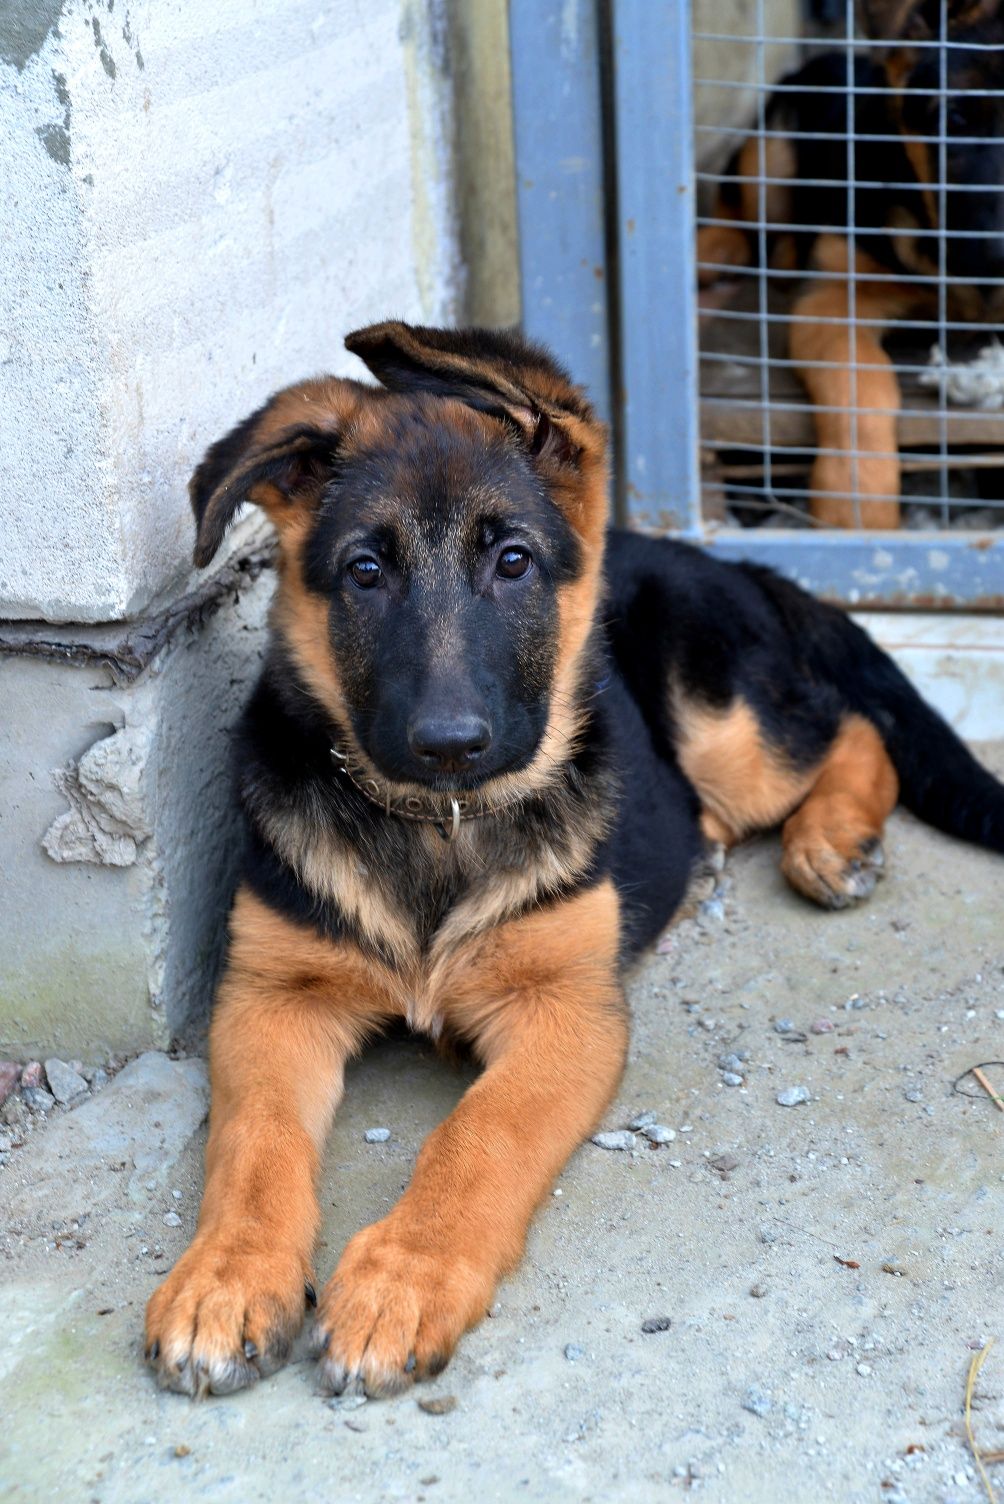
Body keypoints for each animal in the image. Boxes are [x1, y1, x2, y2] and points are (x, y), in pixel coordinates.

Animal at [145, 314, 997, 1395]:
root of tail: (704, 555)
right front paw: (226, 1275)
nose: (449, 744)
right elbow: (253, 1140)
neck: (438, 827)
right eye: (364, 572)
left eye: (512, 562)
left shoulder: (565, 1012)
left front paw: (400, 1280)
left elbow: (478, 1137)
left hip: (721, 727)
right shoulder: (270, 996)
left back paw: (831, 838)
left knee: (847, 726)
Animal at [697, 0, 1004, 529]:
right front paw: (853, 506)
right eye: (956, 117)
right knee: (736, 218)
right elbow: (861, 384)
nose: (998, 254)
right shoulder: (834, 297)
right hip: (773, 150)